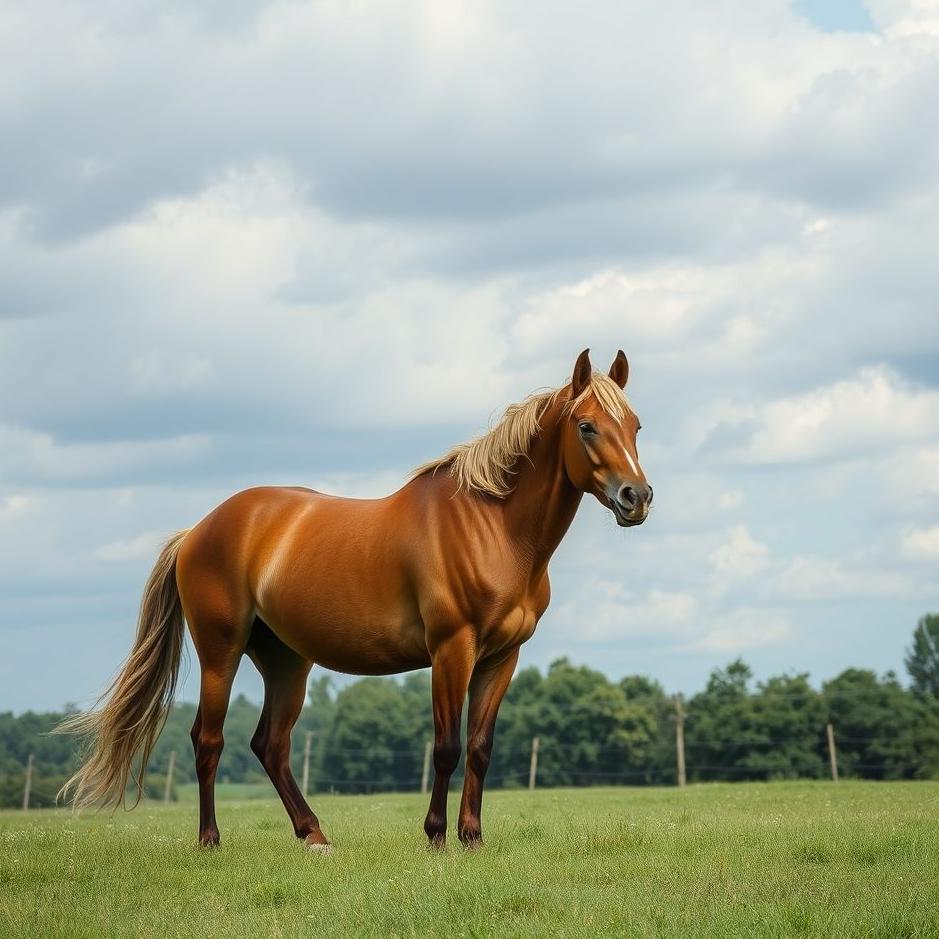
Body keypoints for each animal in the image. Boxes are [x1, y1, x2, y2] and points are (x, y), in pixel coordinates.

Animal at [59, 348, 652, 850]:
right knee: (209, 739)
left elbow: (481, 748)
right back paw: (211, 840)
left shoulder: (502, 657)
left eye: (635, 426)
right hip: (220, 653)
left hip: (286, 661)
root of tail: (198, 531)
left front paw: (472, 838)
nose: (637, 497)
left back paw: (314, 836)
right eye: (586, 426)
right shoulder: (451, 651)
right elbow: (447, 747)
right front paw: (436, 837)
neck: (492, 528)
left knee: (271, 745)